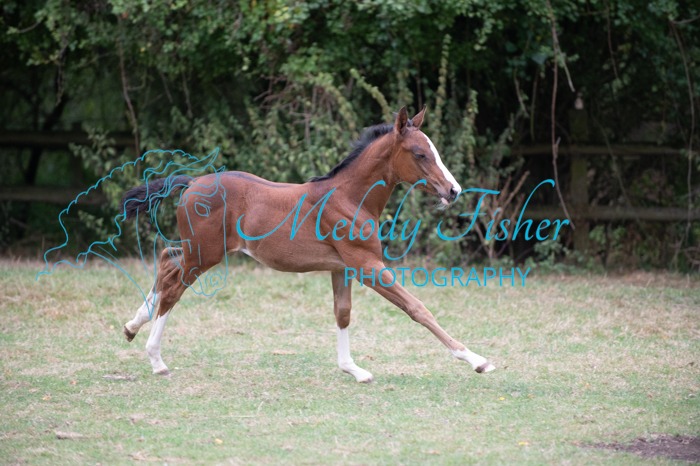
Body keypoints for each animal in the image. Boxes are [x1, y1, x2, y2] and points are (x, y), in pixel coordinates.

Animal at [120, 107, 495, 382]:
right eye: (419, 154)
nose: (453, 191)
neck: (349, 198)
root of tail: (193, 182)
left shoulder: (343, 268)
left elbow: (342, 313)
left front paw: (353, 369)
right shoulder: (367, 266)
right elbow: (417, 308)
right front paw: (477, 360)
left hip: (198, 249)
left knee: (167, 259)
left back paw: (132, 325)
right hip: (204, 254)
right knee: (173, 287)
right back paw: (156, 359)